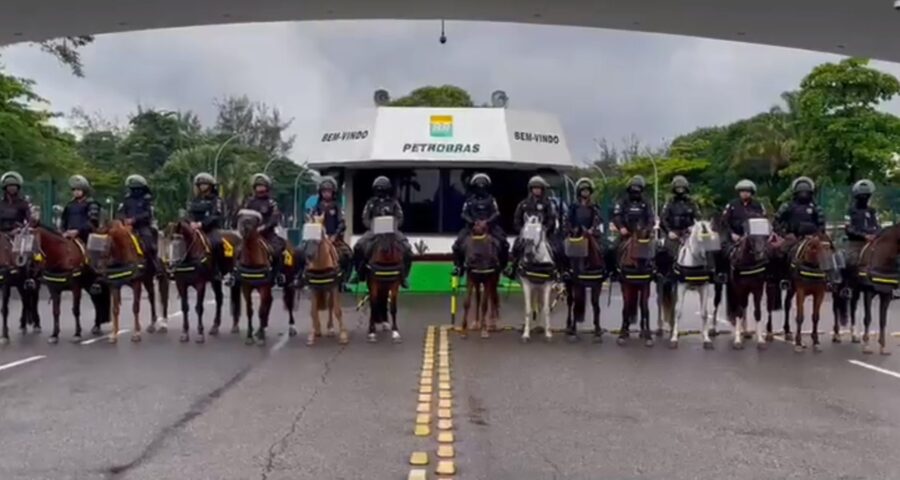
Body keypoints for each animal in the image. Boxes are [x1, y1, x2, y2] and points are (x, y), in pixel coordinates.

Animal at [300, 214, 346, 344]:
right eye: (305, 232)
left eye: (320, 232)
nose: (309, 256)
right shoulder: (313, 288)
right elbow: (313, 311)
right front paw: (312, 334)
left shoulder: (334, 287)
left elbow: (337, 310)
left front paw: (343, 335)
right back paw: (318, 329)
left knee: (330, 306)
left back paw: (330, 328)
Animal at [516, 214, 560, 342]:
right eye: (524, 231)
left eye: (538, 232)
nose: (528, 253)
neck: (537, 261)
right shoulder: (526, 284)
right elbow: (528, 309)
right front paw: (526, 334)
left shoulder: (547, 285)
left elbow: (546, 309)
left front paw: (548, 333)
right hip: (535, 287)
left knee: (540, 306)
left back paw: (540, 327)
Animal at [856, 223, 896, 354]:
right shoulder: (868, 292)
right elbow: (868, 318)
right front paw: (866, 344)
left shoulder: (886, 294)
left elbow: (883, 320)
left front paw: (882, 346)